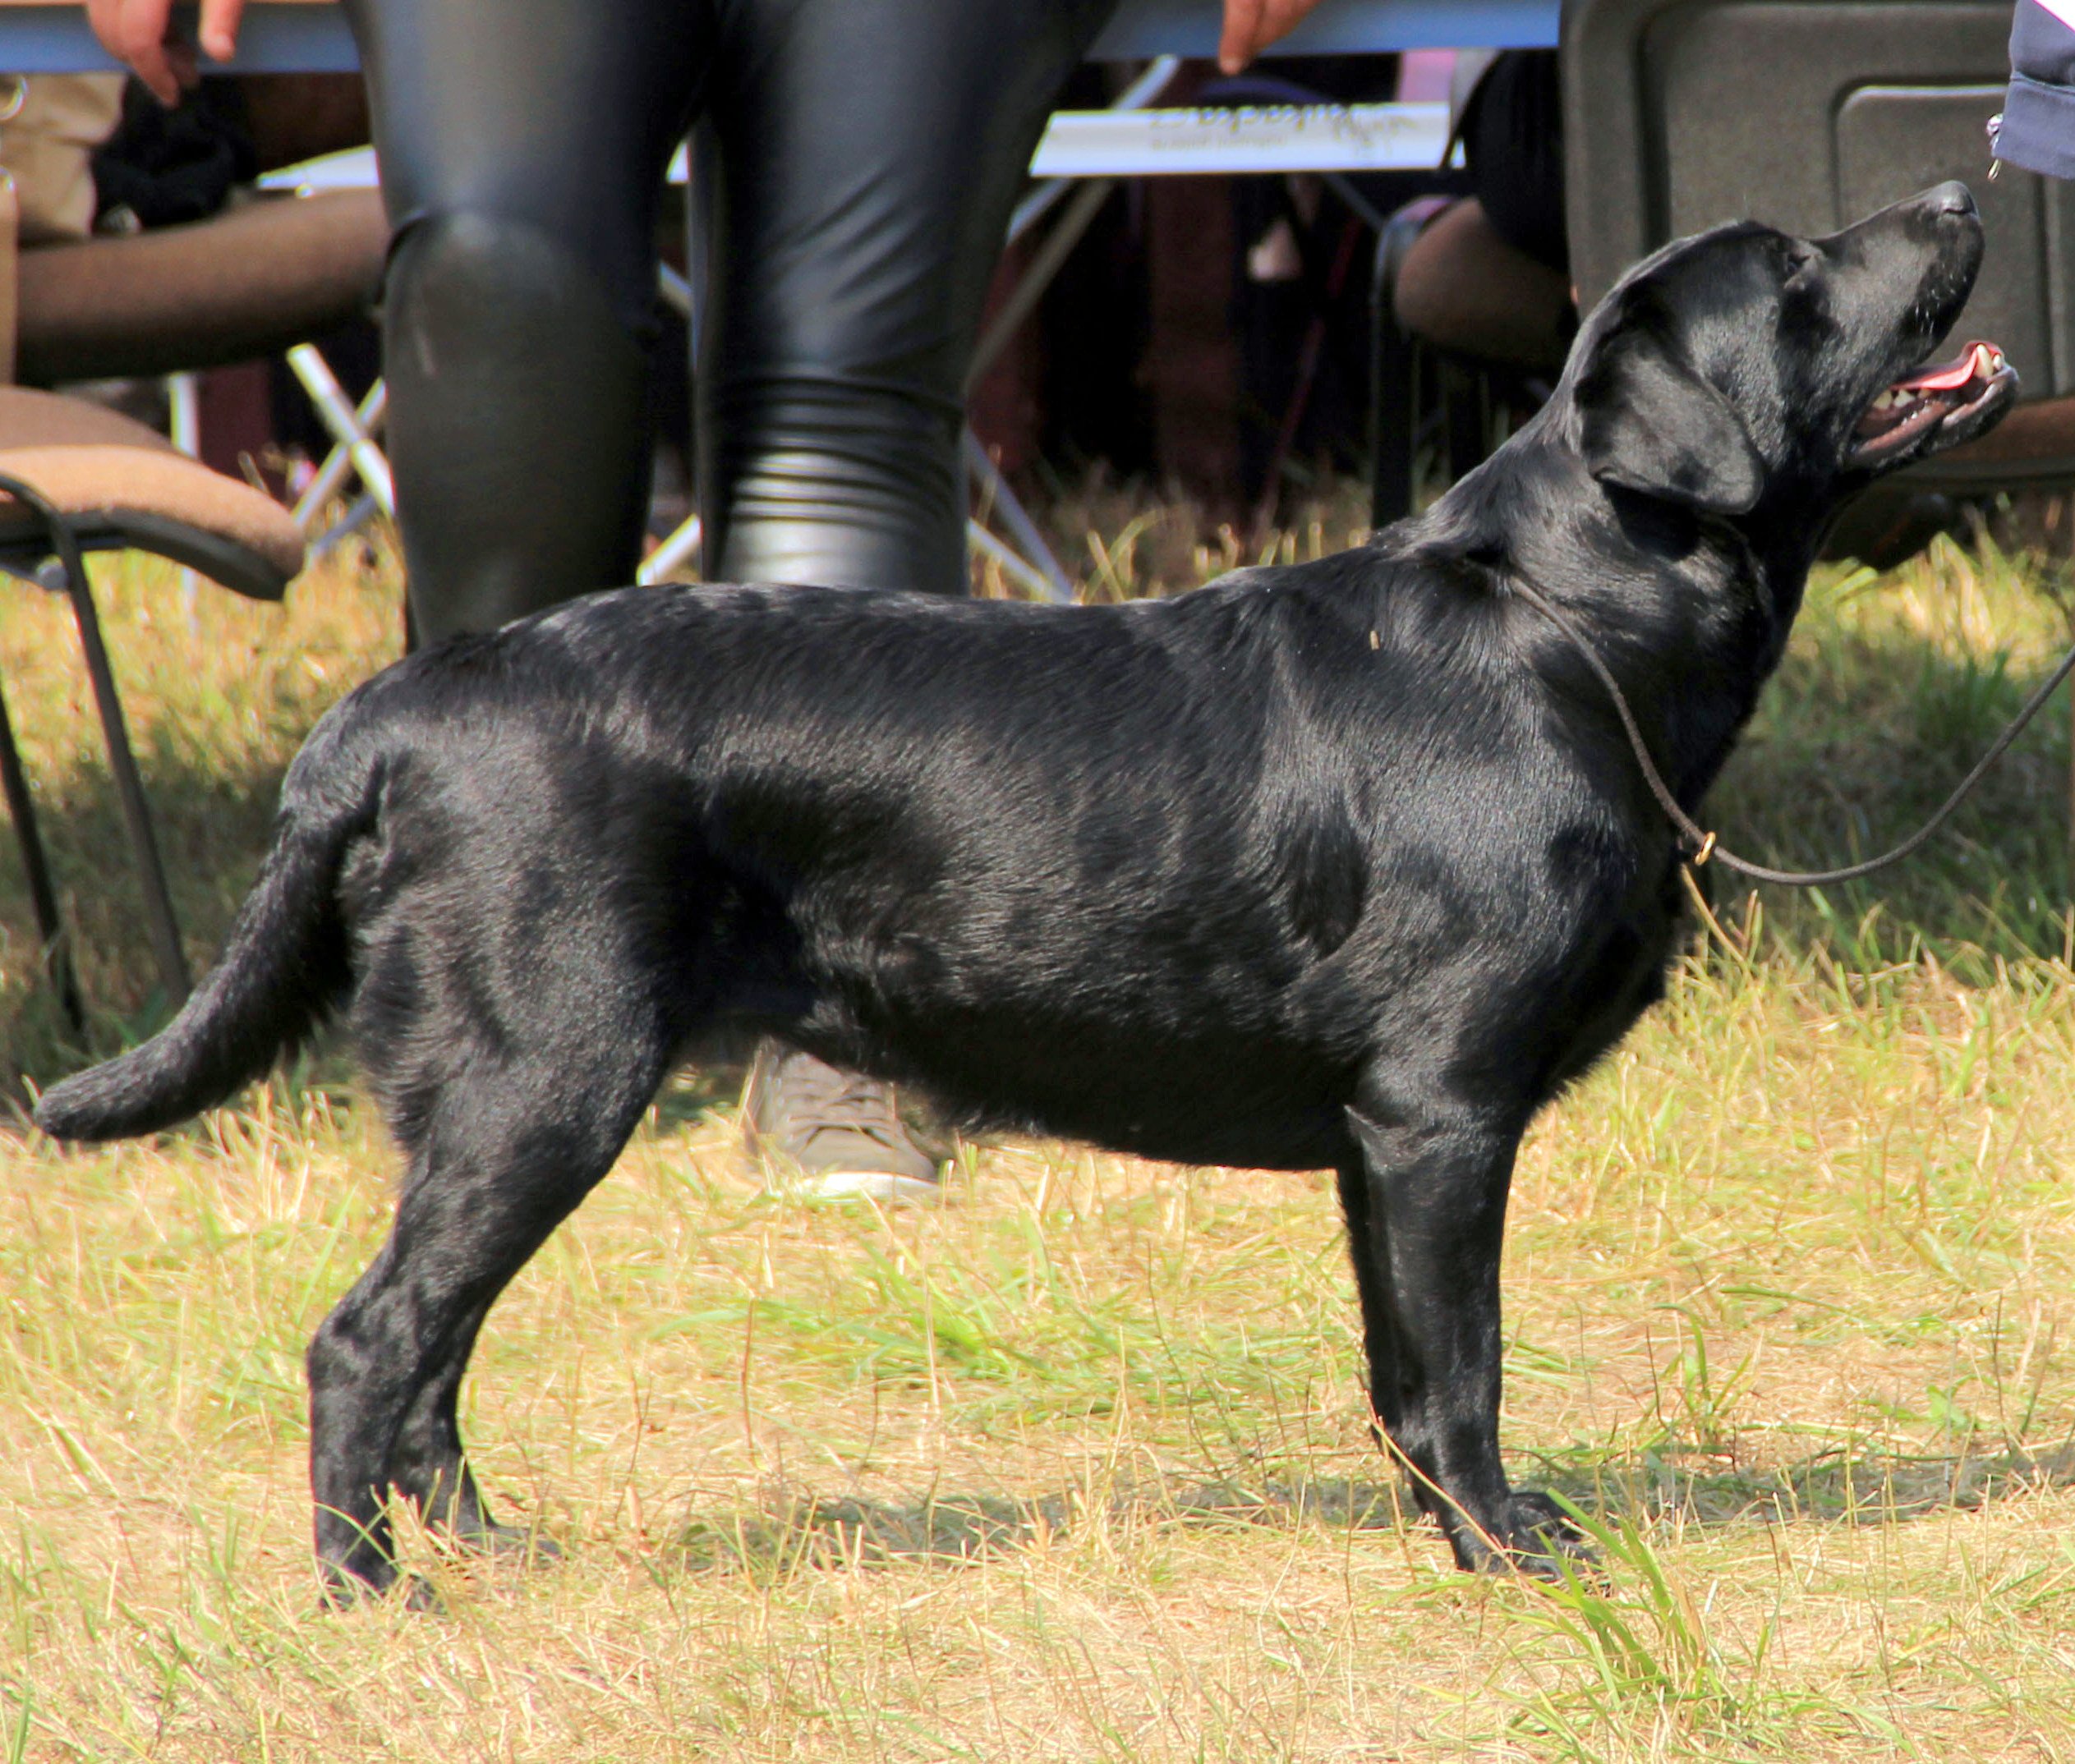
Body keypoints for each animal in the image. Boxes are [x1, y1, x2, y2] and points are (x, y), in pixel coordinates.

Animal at [32, 182, 2008, 1593]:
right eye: (1803, 269)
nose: (1958, 182)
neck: (1569, 626)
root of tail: (390, 708)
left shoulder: (1380, 1135)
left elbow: (1396, 1368)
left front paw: (1440, 1539)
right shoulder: (1442, 1108)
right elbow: (1464, 1365)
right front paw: (1512, 1552)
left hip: (509, 1100)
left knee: (432, 1353)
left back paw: (489, 1553)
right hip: (546, 1071)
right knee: (369, 1341)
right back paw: (376, 1593)